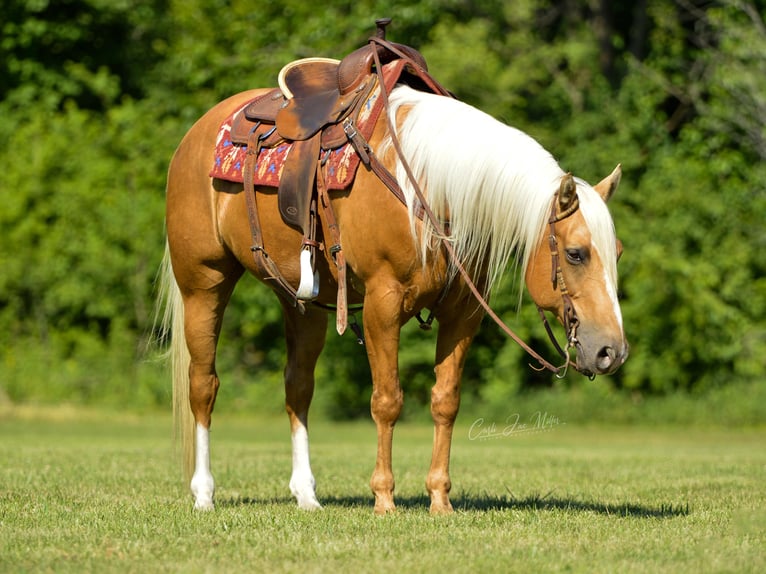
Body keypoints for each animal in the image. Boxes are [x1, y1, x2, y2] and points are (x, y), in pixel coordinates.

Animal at [158, 56, 632, 516]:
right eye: (576, 253)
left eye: (619, 253)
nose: (612, 351)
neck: (433, 188)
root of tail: (198, 132)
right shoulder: (382, 306)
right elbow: (387, 400)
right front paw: (384, 498)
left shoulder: (463, 313)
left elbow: (445, 400)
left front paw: (440, 500)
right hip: (203, 282)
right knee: (203, 385)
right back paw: (204, 494)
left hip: (300, 302)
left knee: (298, 388)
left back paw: (306, 495)